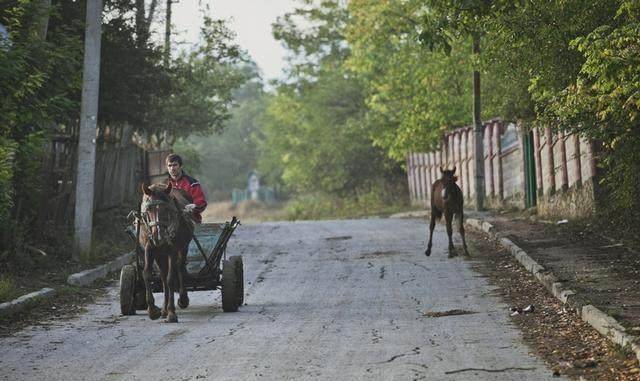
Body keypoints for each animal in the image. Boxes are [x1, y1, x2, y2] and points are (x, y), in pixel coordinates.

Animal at [138, 181, 192, 320]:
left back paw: (182, 299)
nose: (158, 236)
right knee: (163, 275)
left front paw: (172, 312)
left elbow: (170, 278)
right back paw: (163, 309)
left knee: (179, 267)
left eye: (166, 209)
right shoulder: (149, 248)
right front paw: (152, 310)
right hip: (159, 254)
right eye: (148, 210)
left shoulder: (172, 250)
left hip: (183, 248)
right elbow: (147, 274)